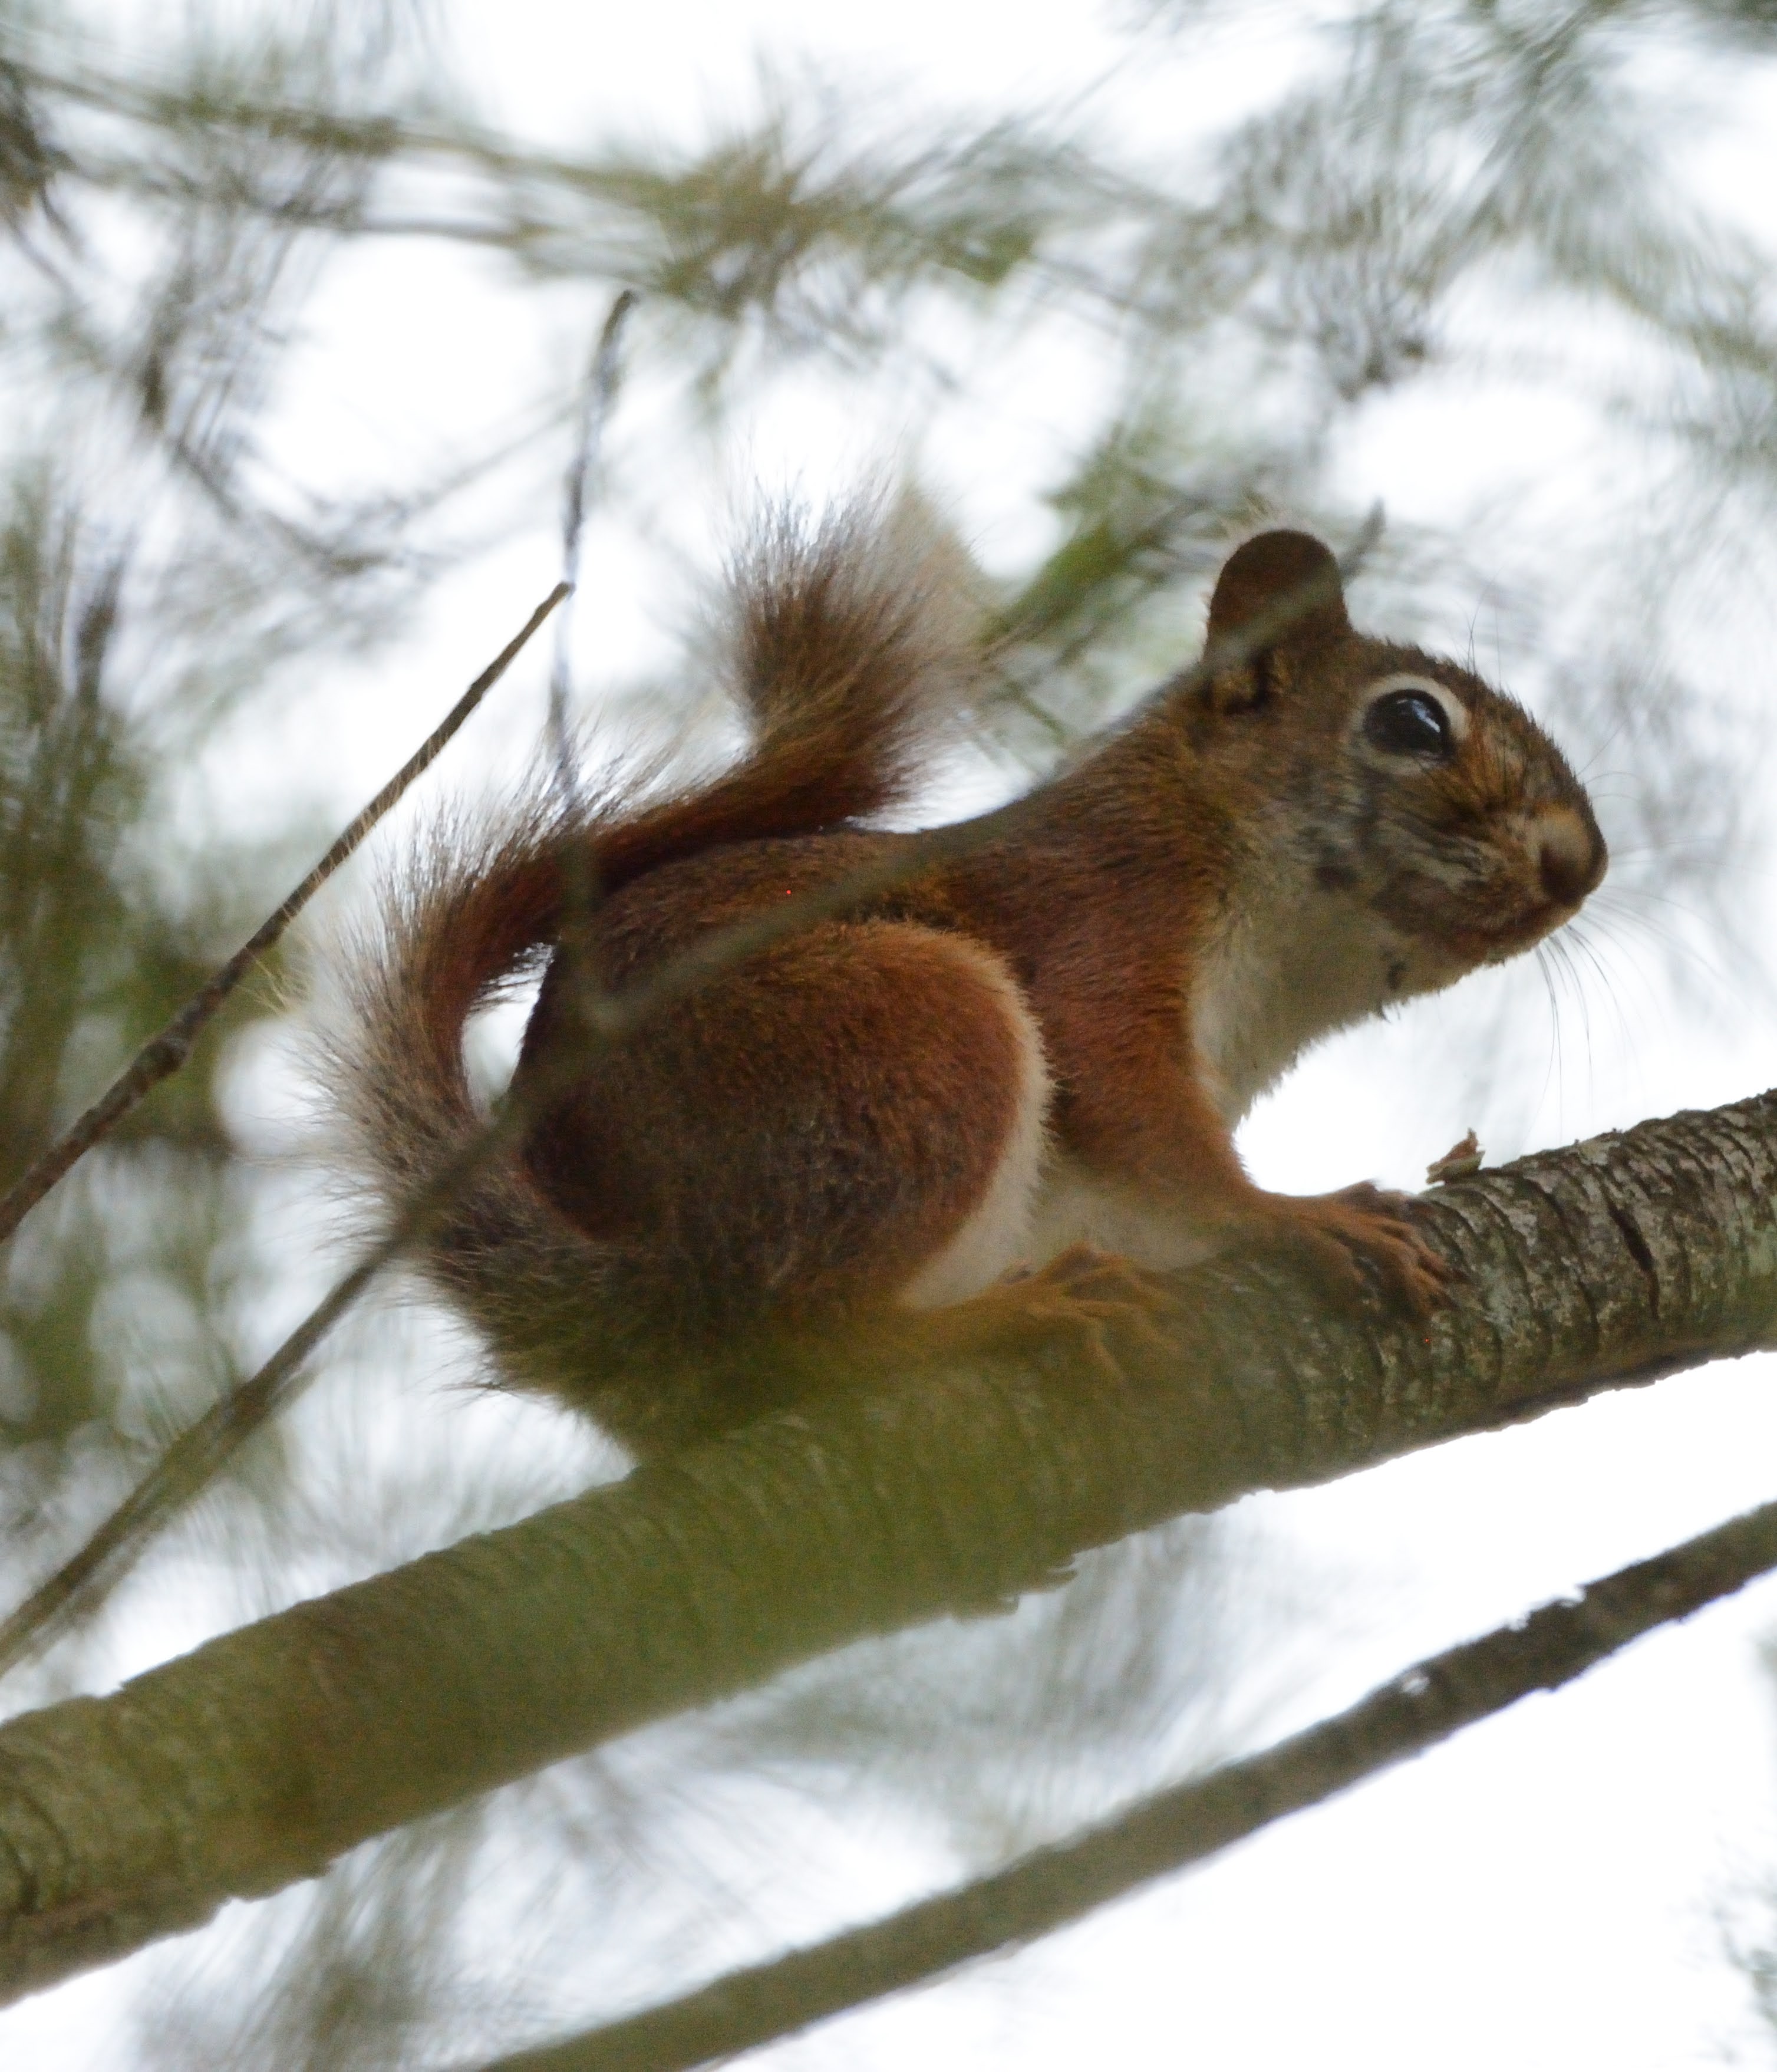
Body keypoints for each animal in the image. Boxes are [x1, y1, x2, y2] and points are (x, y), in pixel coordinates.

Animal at [329, 501, 1606, 1457]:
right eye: (1412, 722)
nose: (1579, 865)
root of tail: (642, 1288)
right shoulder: (1103, 913)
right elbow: (1139, 1109)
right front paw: (1294, 1214)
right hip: (899, 1038)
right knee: (803, 1326)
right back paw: (1008, 1315)